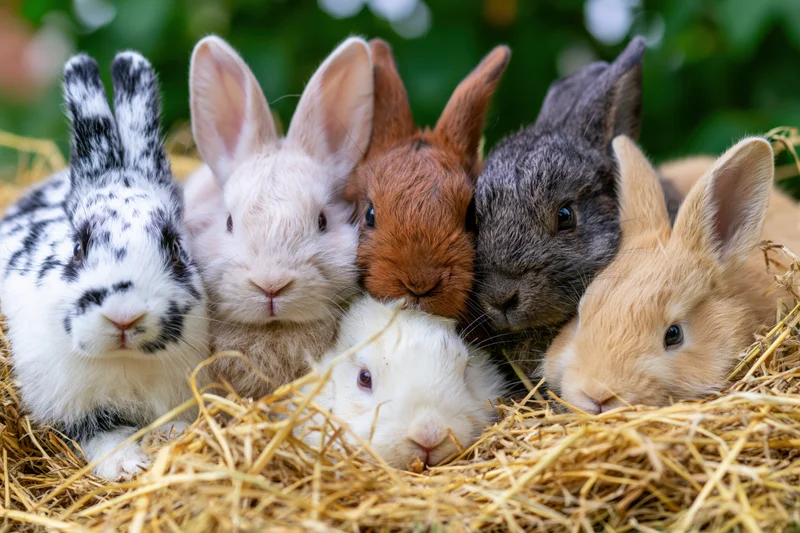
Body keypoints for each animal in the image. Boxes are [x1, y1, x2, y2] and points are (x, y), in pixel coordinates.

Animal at [0, 52, 210, 479]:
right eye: (78, 247)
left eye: (174, 247)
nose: (124, 317)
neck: (124, 362)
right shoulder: (73, 412)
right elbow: (103, 436)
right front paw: (129, 464)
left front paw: (174, 438)